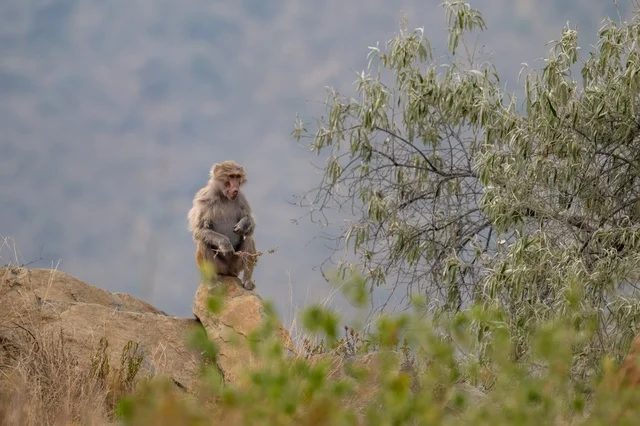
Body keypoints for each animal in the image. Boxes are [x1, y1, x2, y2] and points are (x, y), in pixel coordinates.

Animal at [187, 160, 257, 290]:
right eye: (231, 176)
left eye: (237, 176)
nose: (235, 188)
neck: (223, 196)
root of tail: (228, 272)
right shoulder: (205, 197)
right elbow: (200, 230)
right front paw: (225, 243)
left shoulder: (241, 197)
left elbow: (250, 228)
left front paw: (244, 224)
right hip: (219, 268)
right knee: (203, 243)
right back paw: (212, 283)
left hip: (236, 266)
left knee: (249, 239)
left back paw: (247, 281)